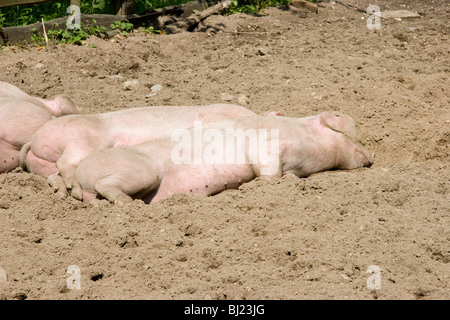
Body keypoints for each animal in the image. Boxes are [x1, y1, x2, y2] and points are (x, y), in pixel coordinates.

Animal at [20, 104, 260, 200]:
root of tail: (34, 140)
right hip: (80, 141)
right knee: (65, 164)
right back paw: (75, 192)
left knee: (55, 174)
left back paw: (64, 193)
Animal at [75, 111, 374, 205]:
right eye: (348, 135)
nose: (372, 154)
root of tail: (81, 175)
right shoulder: (265, 145)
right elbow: (267, 170)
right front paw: (262, 185)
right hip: (141, 172)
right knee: (106, 186)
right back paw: (129, 205)